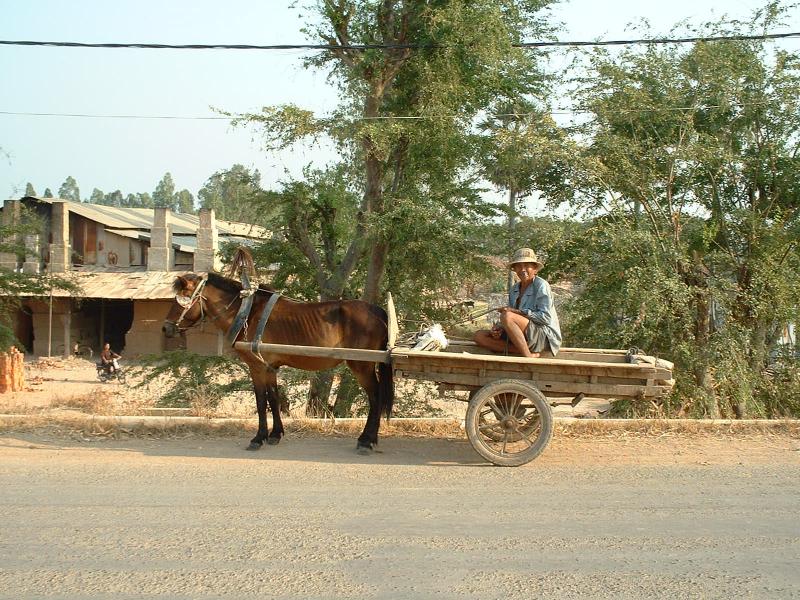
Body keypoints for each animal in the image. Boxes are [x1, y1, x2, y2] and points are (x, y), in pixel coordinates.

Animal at [160, 260, 394, 452]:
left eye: (182, 300)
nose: (166, 328)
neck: (247, 313)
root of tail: (378, 312)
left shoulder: (256, 367)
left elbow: (260, 401)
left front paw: (258, 438)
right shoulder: (270, 367)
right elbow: (273, 398)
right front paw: (275, 434)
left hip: (361, 365)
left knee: (375, 397)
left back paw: (366, 440)